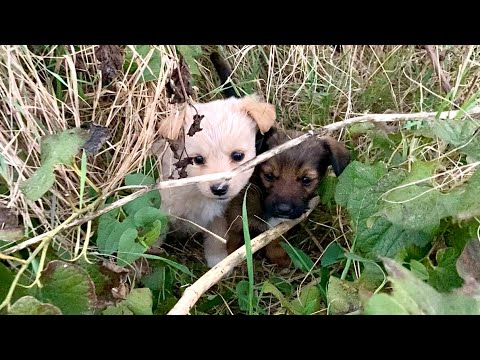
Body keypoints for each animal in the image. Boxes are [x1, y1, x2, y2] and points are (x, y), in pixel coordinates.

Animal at [156, 94, 276, 268]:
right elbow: (154, 229)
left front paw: (218, 261)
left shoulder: (219, 216)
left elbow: (217, 238)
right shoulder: (165, 207)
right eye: (198, 160)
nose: (219, 188)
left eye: (238, 156)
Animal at [223, 128, 350, 266]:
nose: (283, 209)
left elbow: (275, 242)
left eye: (306, 179)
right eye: (268, 176)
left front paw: (279, 257)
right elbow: (232, 241)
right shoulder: (234, 219)